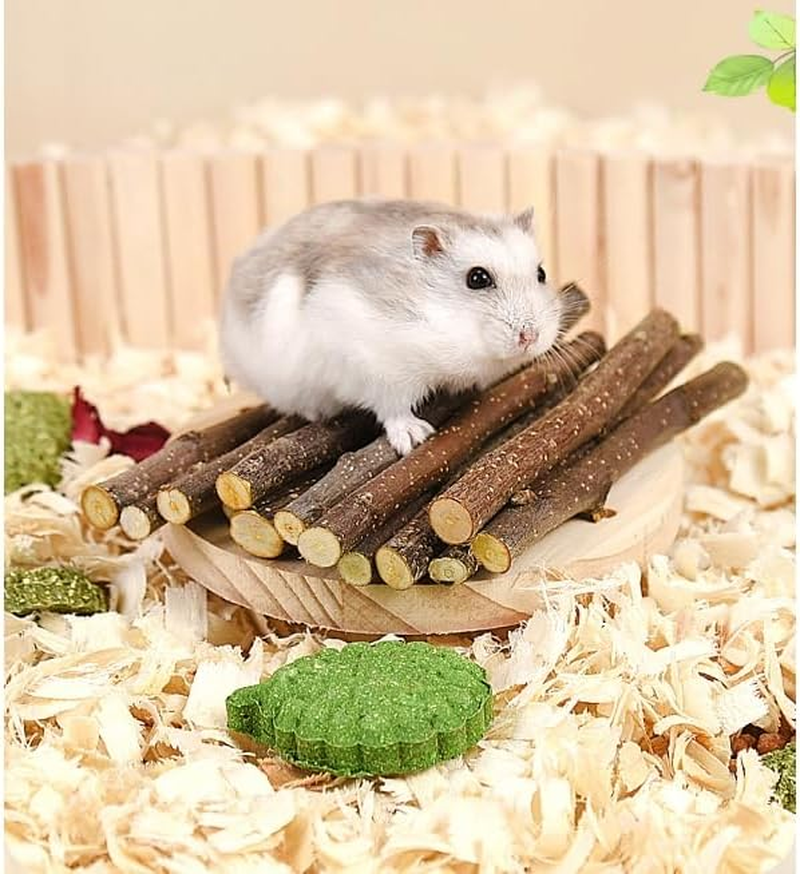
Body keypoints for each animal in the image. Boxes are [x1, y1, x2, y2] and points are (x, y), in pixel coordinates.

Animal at [219, 198, 567, 455]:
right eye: (477, 278)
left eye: (541, 274)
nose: (530, 337)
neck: (443, 318)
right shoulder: (377, 368)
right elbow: (393, 407)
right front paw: (416, 436)